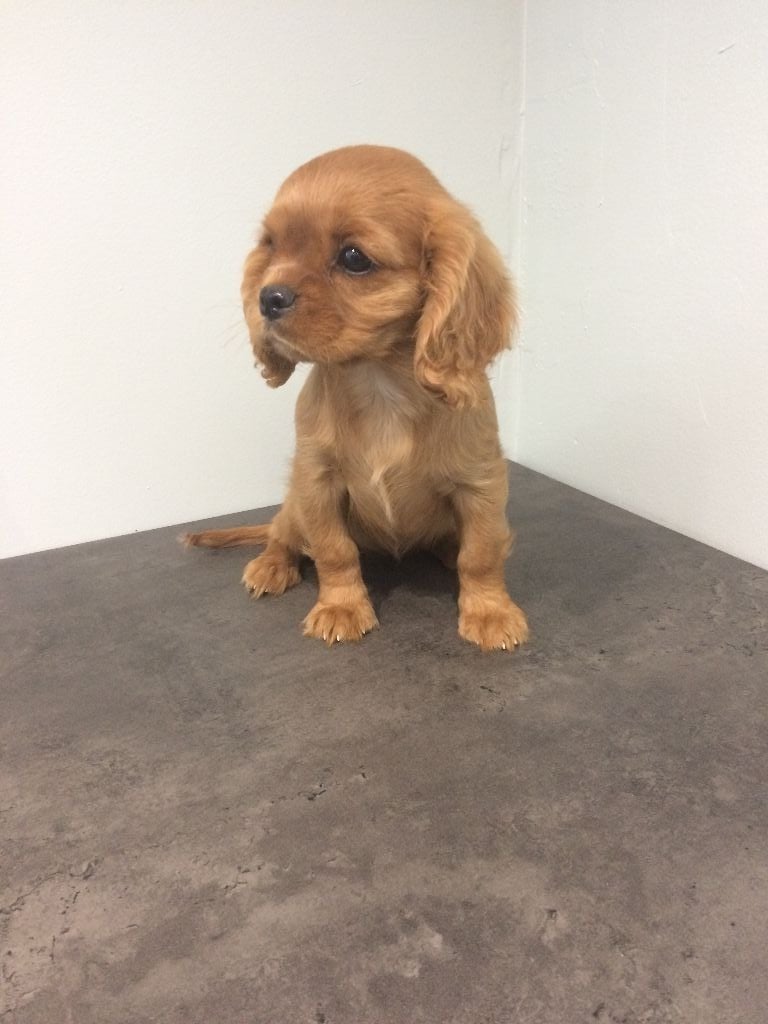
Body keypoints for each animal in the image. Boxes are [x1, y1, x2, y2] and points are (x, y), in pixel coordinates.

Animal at [185, 145, 529, 652]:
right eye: (272, 246)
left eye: (353, 258)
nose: (268, 297)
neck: (377, 380)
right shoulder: (317, 481)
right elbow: (334, 550)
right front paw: (342, 608)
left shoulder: (481, 484)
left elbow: (481, 553)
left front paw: (490, 612)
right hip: (293, 504)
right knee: (281, 533)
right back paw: (271, 566)